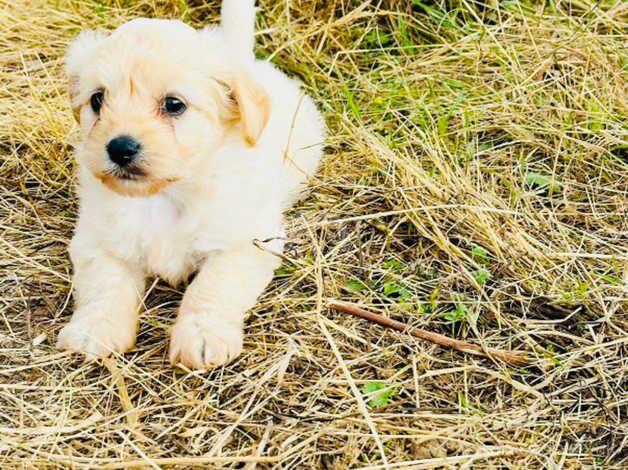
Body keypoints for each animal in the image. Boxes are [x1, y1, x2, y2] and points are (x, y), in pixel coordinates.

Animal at [56, 0, 326, 370]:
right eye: (97, 100)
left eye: (174, 104)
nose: (119, 148)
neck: (164, 196)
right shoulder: (97, 241)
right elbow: (104, 285)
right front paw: (93, 330)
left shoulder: (248, 241)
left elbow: (212, 286)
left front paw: (202, 335)